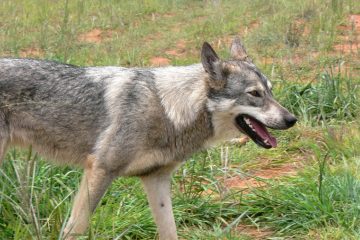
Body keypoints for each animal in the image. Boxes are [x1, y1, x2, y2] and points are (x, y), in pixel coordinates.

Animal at [0, 37, 296, 238]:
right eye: (255, 94)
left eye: (271, 91)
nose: (292, 119)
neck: (168, 109)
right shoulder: (100, 170)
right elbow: (75, 229)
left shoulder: (156, 179)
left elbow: (170, 232)